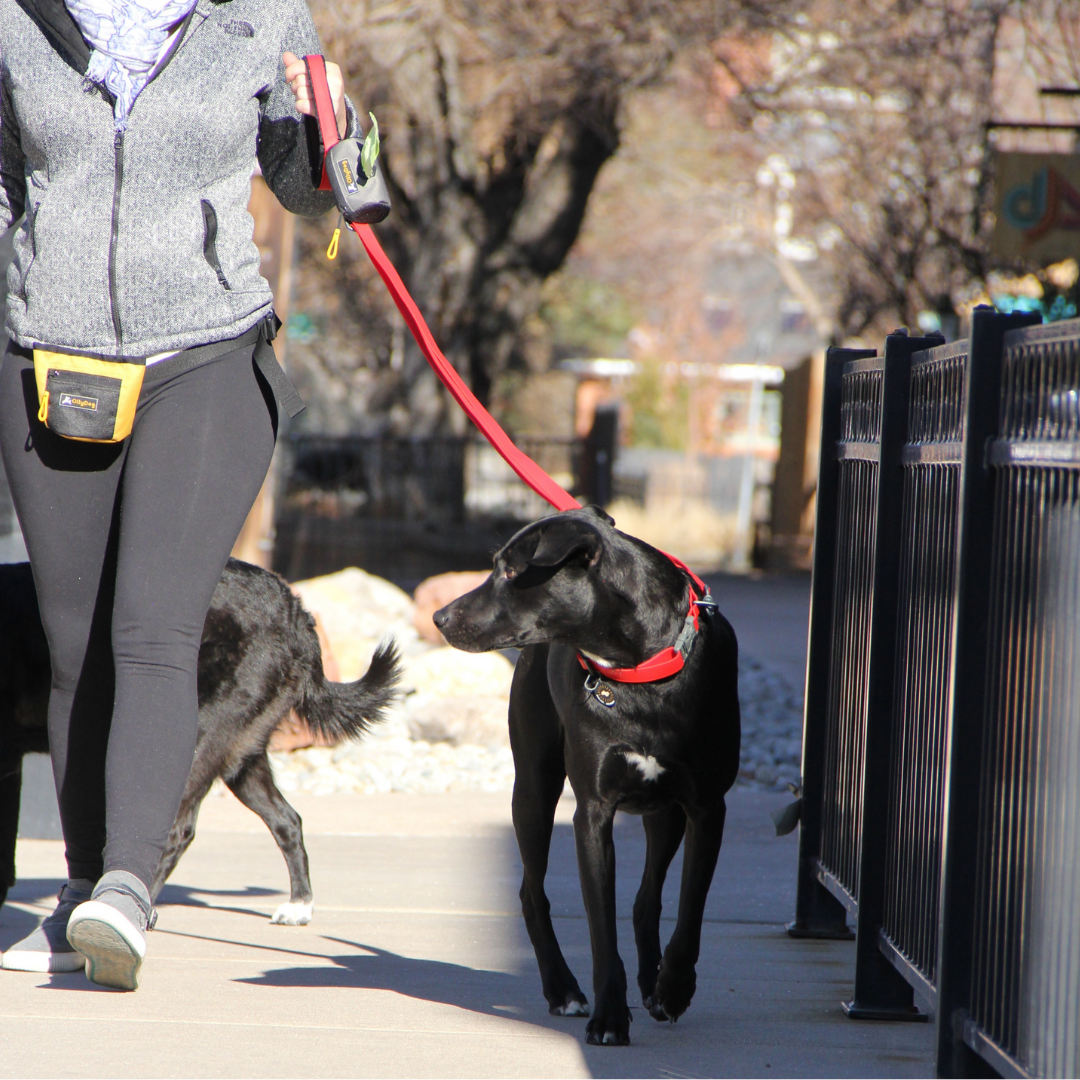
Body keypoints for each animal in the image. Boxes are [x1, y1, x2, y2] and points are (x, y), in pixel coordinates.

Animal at [0, 561, 401, 924]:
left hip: (192, 739)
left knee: (176, 831)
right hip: (241, 757)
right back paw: (299, 905)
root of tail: (296, 613)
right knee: (288, 820)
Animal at [434, 505, 738, 1045]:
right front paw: (610, 1016)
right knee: (531, 893)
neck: (642, 673)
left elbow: (690, 912)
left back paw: (653, 984)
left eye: (510, 571)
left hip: (665, 812)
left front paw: (673, 988)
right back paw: (563, 990)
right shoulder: (592, 814)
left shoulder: (707, 808)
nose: (439, 618)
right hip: (533, 789)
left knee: (646, 899)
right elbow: (601, 932)